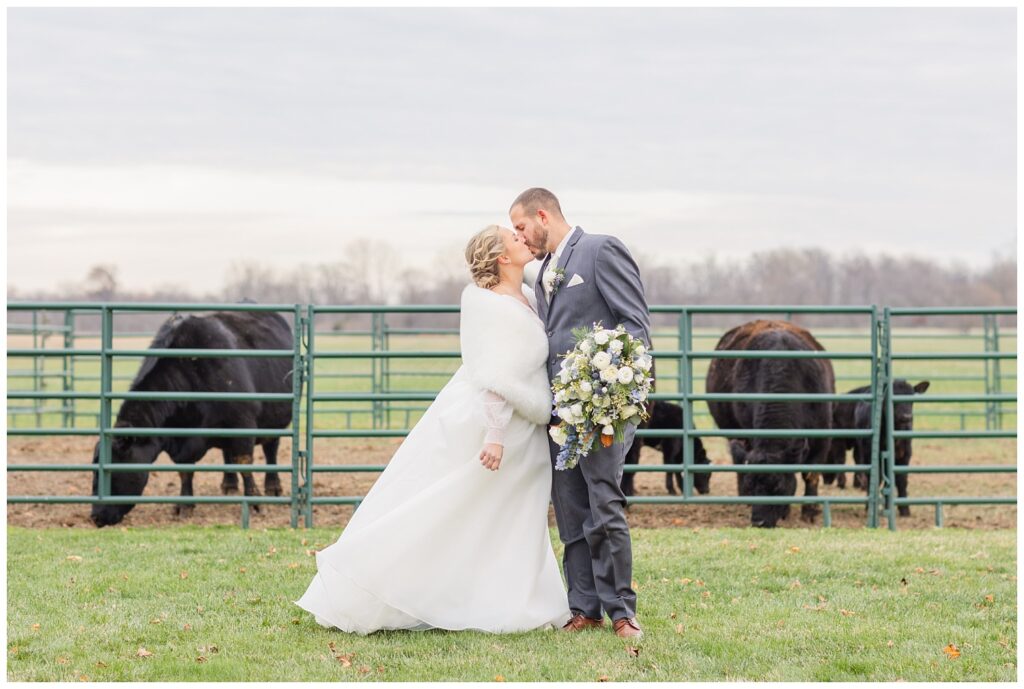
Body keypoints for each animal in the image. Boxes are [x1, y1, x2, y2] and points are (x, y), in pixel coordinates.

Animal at [90, 311, 296, 528]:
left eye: (108, 471)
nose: (95, 516)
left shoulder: (243, 424)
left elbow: (244, 463)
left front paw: (255, 502)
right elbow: (186, 472)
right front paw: (185, 505)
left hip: (275, 420)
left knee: (270, 449)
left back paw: (273, 486)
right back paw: (229, 485)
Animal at [708, 321, 835, 528]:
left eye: (776, 485)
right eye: (751, 487)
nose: (758, 522)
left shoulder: (821, 438)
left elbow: (810, 474)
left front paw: (809, 511)